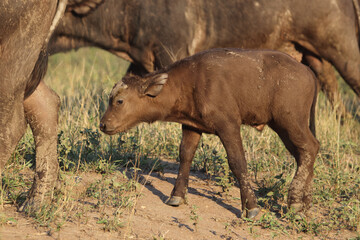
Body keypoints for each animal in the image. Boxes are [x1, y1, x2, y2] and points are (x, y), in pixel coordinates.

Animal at [100, 47, 320, 218]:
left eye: (119, 101)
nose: (102, 124)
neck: (190, 82)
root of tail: (307, 72)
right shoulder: (192, 127)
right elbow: (185, 156)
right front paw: (176, 195)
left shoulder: (228, 125)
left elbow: (238, 162)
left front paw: (250, 207)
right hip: (284, 125)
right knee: (305, 152)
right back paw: (305, 202)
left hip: (290, 121)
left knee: (309, 147)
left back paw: (295, 203)